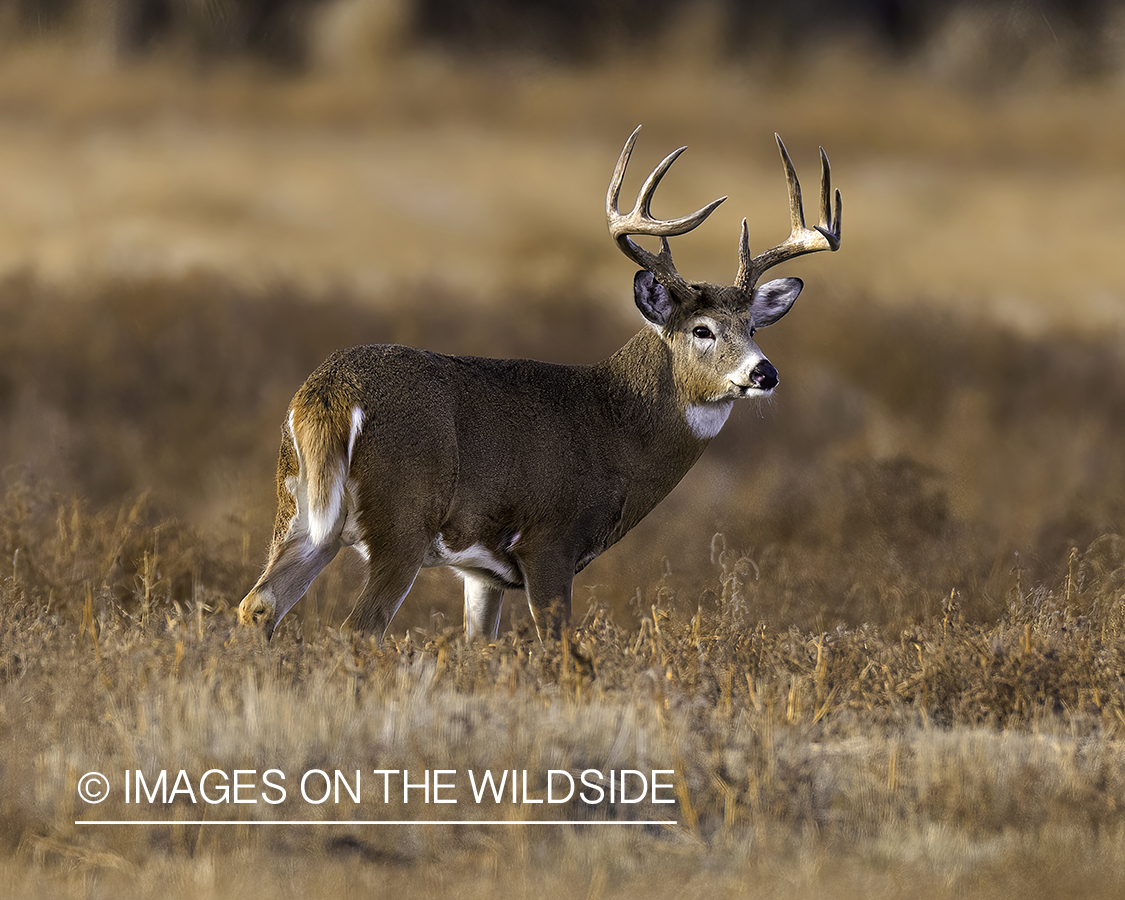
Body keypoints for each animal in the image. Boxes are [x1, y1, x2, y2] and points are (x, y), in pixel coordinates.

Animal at [239, 128, 837, 648]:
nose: (764, 374)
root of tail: (329, 394)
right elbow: (559, 643)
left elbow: (480, 644)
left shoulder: (482, 572)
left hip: (297, 511)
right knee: (358, 628)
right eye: (702, 329)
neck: (613, 426)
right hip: (403, 517)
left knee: (258, 604)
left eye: (753, 327)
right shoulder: (550, 540)